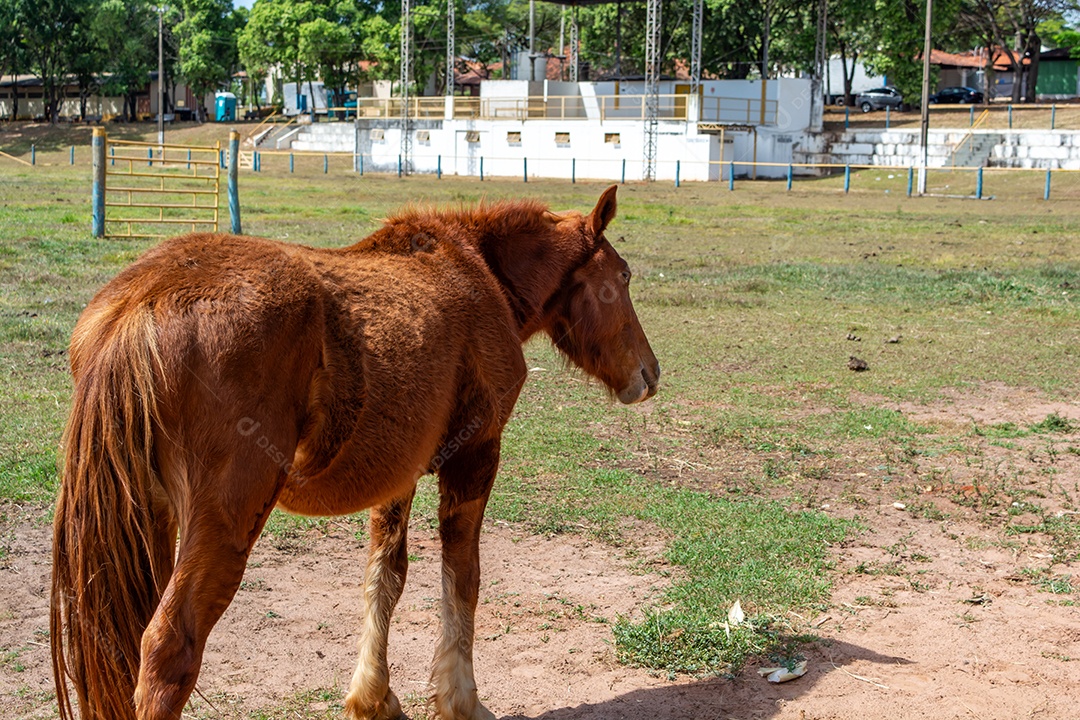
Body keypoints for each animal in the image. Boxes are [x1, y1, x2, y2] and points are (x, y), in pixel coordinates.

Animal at [50, 185, 659, 720]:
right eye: (624, 276)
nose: (649, 374)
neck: (478, 271)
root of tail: (143, 300)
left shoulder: (398, 475)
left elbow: (385, 578)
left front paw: (374, 698)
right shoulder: (476, 455)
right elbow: (463, 577)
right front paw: (460, 700)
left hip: (149, 518)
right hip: (221, 520)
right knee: (167, 648)